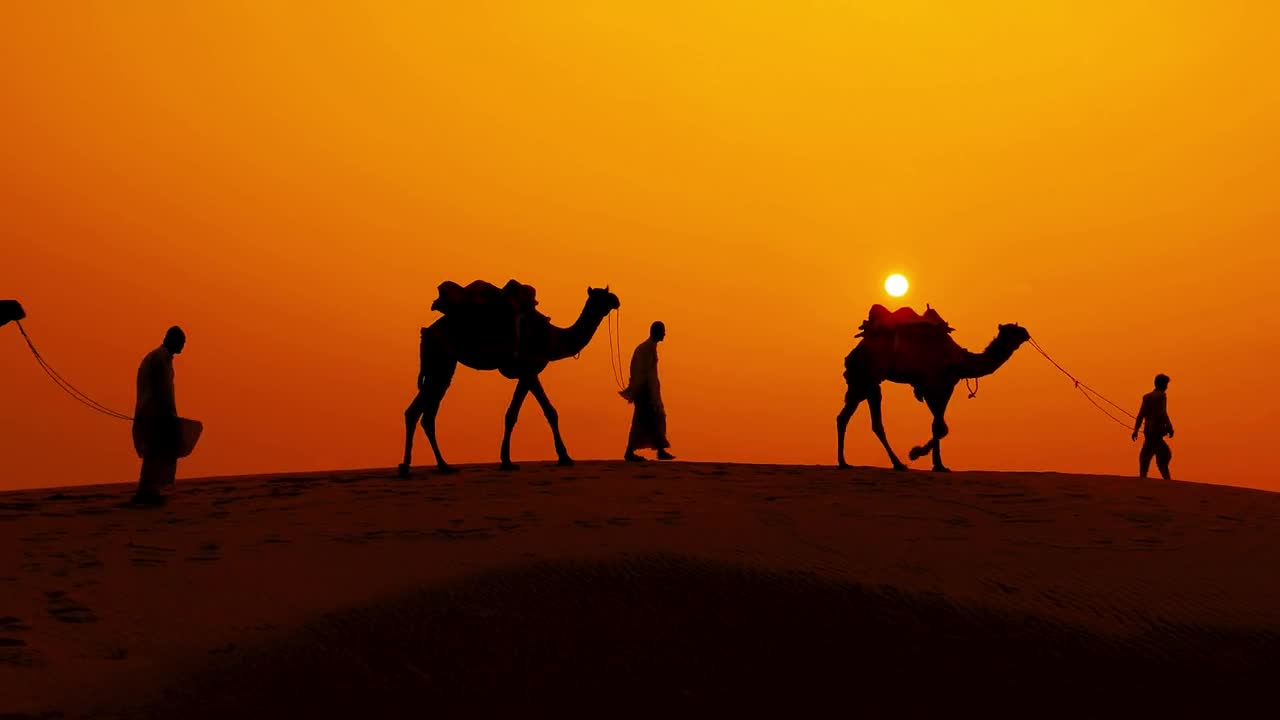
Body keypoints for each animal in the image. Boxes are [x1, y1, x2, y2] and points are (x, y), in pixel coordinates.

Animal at [399, 283, 619, 474]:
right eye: (601, 296)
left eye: (607, 292)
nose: (616, 300)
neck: (552, 338)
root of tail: (426, 332)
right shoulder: (529, 370)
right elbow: (533, 412)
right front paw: (561, 457)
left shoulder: (528, 373)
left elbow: (528, 413)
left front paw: (509, 459)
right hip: (441, 362)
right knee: (419, 412)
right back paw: (413, 466)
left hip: (441, 364)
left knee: (424, 414)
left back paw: (438, 466)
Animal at [839, 307, 1029, 471]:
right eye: (1012, 330)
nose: (1026, 332)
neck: (960, 360)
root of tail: (852, 354)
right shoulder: (935, 385)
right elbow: (940, 427)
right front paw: (916, 453)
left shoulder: (943, 386)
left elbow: (938, 424)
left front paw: (938, 465)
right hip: (866, 379)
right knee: (871, 421)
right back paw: (897, 464)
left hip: (863, 384)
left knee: (847, 418)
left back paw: (845, 462)